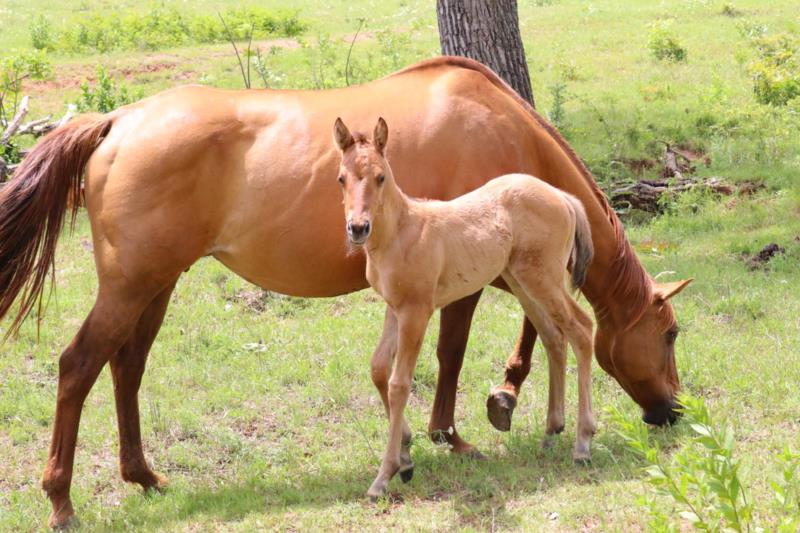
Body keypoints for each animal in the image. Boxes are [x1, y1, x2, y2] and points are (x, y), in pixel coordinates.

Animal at [333, 117, 597, 497]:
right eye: (342, 178)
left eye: (380, 177)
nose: (358, 228)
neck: (402, 232)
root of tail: (562, 196)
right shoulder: (393, 309)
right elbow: (378, 369)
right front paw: (406, 456)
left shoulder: (416, 311)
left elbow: (399, 383)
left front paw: (385, 474)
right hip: (523, 281)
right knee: (554, 336)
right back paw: (551, 432)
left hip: (542, 279)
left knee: (581, 329)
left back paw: (583, 443)